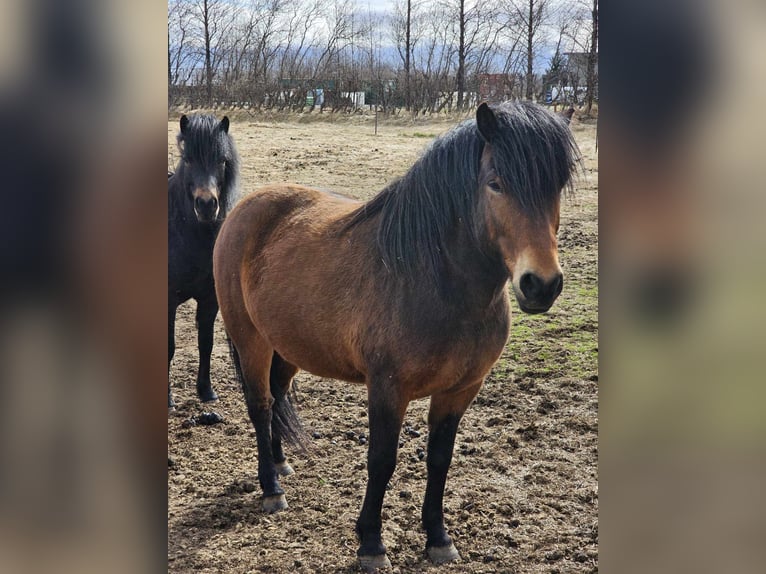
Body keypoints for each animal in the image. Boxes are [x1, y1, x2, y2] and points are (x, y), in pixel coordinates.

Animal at [213, 102, 580, 572]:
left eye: (557, 186)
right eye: (496, 183)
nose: (541, 285)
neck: (432, 279)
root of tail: (243, 209)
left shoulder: (460, 390)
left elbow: (440, 460)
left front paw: (438, 538)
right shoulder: (388, 388)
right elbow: (382, 460)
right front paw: (371, 543)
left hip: (288, 345)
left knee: (277, 396)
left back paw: (281, 464)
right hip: (251, 340)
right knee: (260, 406)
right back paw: (271, 489)